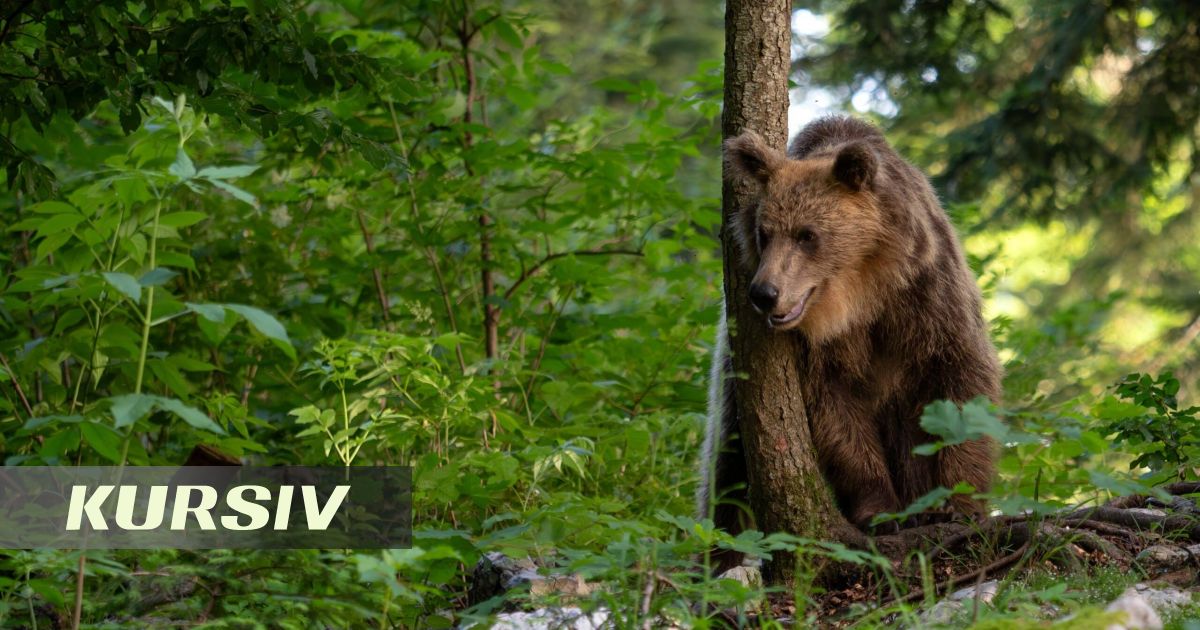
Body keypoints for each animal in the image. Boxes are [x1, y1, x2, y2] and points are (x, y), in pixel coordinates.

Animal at [699, 116, 1002, 571]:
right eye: (763, 233)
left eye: (807, 235)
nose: (764, 293)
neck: (860, 294)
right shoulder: (818, 351)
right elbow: (836, 415)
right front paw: (881, 512)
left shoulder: (928, 297)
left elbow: (961, 380)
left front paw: (957, 503)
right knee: (729, 461)